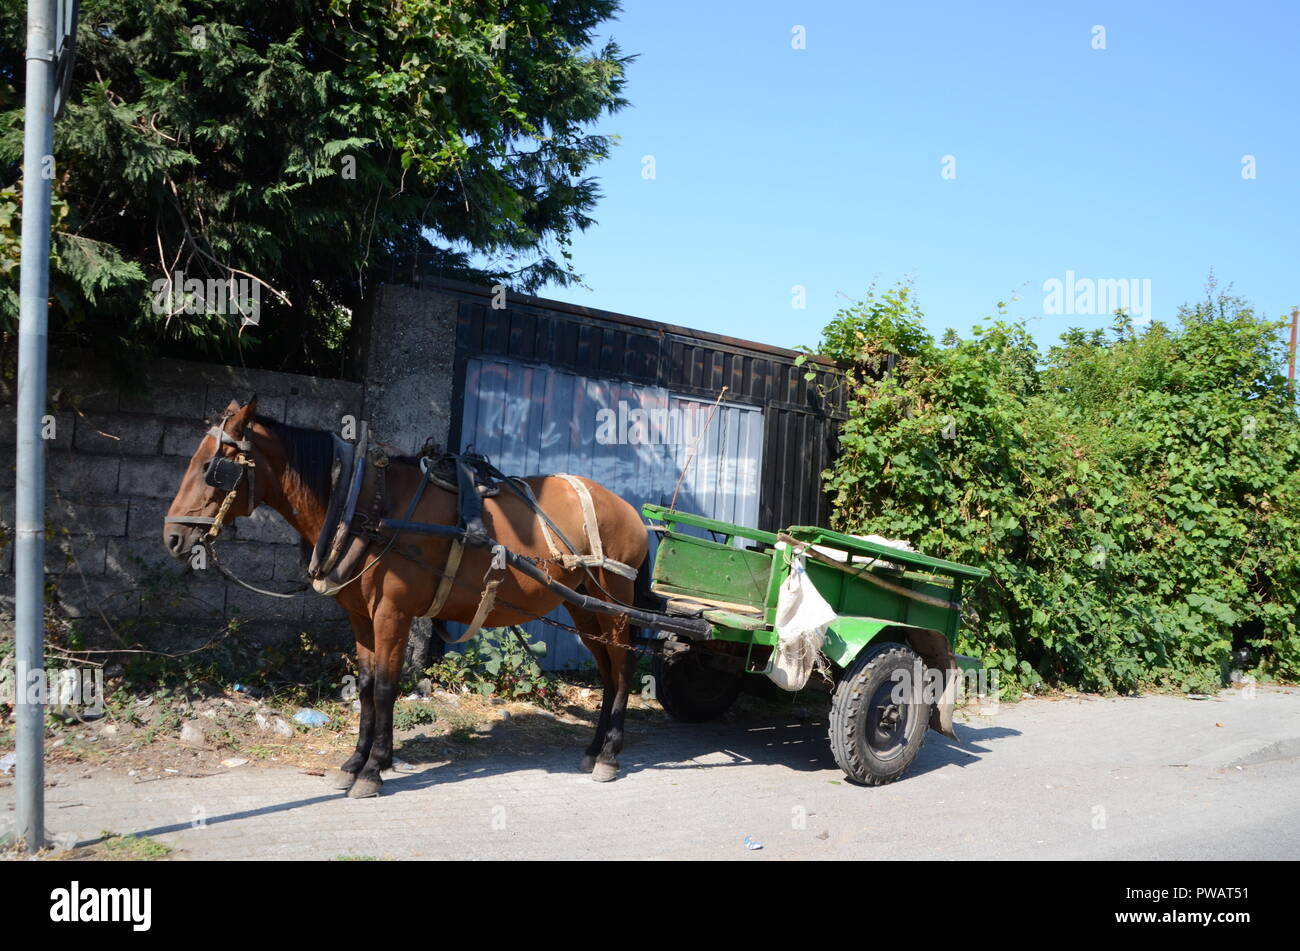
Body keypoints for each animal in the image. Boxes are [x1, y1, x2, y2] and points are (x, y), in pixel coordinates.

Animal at [162, 398, 650, 797]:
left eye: (210, 467)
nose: (172, 537)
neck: (370, 506)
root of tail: (627, 507)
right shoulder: (360, 616)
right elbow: (363, 686)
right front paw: (355, 762)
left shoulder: (392, 613)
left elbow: (385, 687)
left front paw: (373, 769)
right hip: (582, 605)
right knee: (608, 672)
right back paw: (594, 749)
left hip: (615, 601)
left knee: (624, 669)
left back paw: (610, 754)